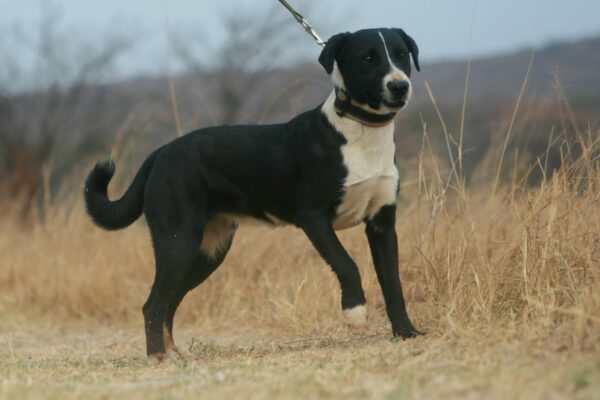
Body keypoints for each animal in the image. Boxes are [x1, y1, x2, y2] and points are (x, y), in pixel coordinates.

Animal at [84, 28, 422, 362]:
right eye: (368, 58)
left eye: (401, 54)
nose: (400, 86)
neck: (361, 132)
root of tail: (162, 151)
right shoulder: (313, 217)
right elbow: (347, 263)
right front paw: (355, 312)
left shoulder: (382, 225)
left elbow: (393, 284)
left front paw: (407, 333)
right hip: (178, 242)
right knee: (153, 303)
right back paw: (159, 356)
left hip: (208, 251)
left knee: (169, 300)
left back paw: (173, 352)